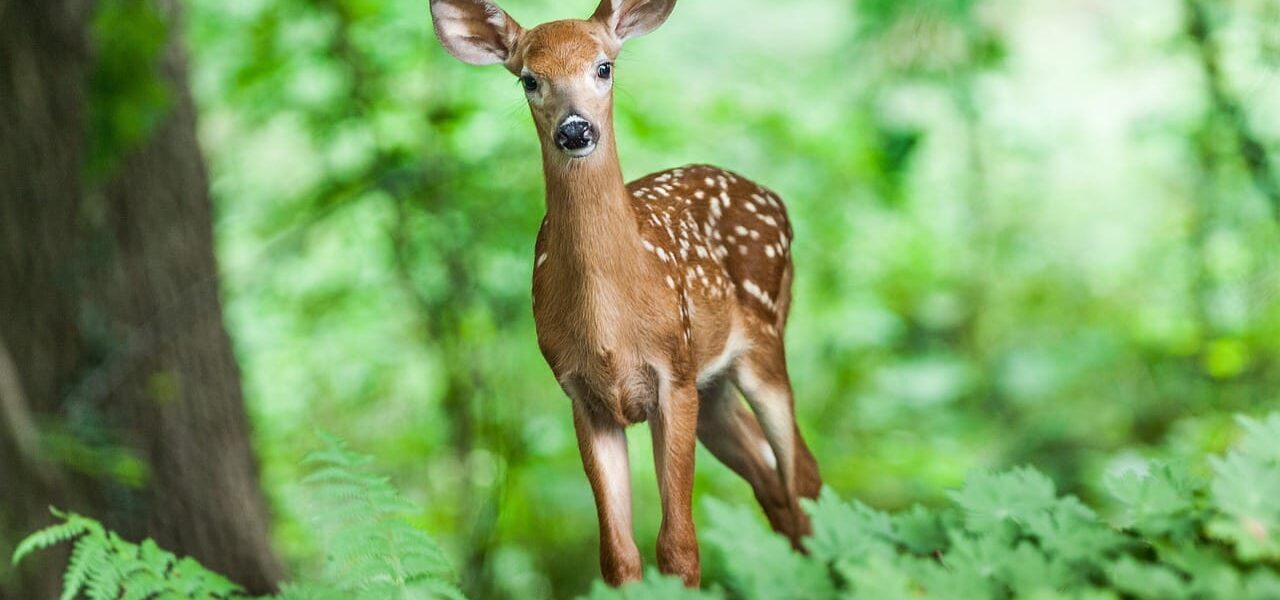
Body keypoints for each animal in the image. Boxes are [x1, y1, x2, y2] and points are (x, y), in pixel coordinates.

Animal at [429, 0, 822, 587]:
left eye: (604, 67)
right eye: (529, 79)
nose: (575, 129)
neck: (609, 325)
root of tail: (775, 199)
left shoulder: (673, 376)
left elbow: (679, 547)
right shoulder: (582, 395)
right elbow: (617, 555)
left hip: (763, 344)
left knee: (802, 477)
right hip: (714, 388)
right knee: (774, 481)